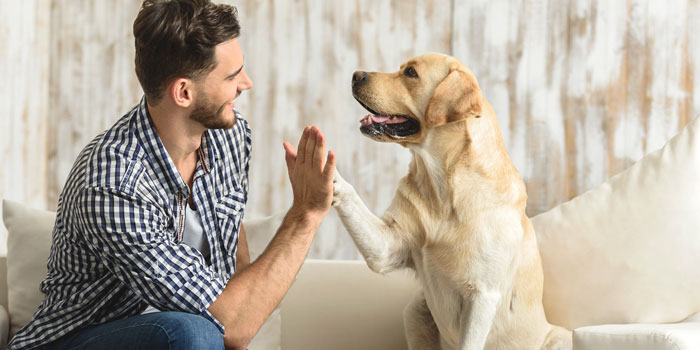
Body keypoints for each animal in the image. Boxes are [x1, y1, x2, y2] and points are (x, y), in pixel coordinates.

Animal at [332, 53, 568, 348]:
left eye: (411, 73)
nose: (355, 75)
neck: (443, 187)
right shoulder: (387, 247)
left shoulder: (482, 295)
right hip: (415, 310)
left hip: (560, 337)